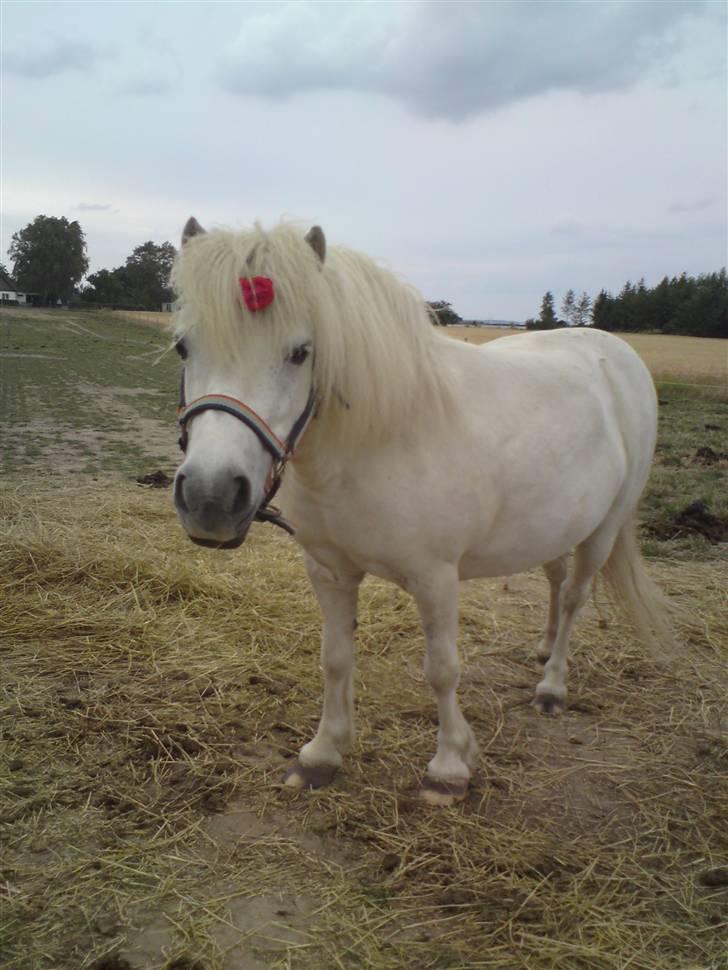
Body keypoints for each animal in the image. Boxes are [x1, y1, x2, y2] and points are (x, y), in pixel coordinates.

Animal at [171, 217, 672, 800]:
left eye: (300, 352)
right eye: (183, 347)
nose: (210, 498)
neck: (380, 439)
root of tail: (620, 355)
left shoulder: (436, 578)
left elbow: (442, 670)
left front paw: (449, 766)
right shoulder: (329, 570)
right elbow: (334, 659)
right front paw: (323, 753)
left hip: (604, 528)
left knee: (574, 595)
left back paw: (552, 685)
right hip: (557, 522)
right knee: (555, 577)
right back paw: (544, 650)